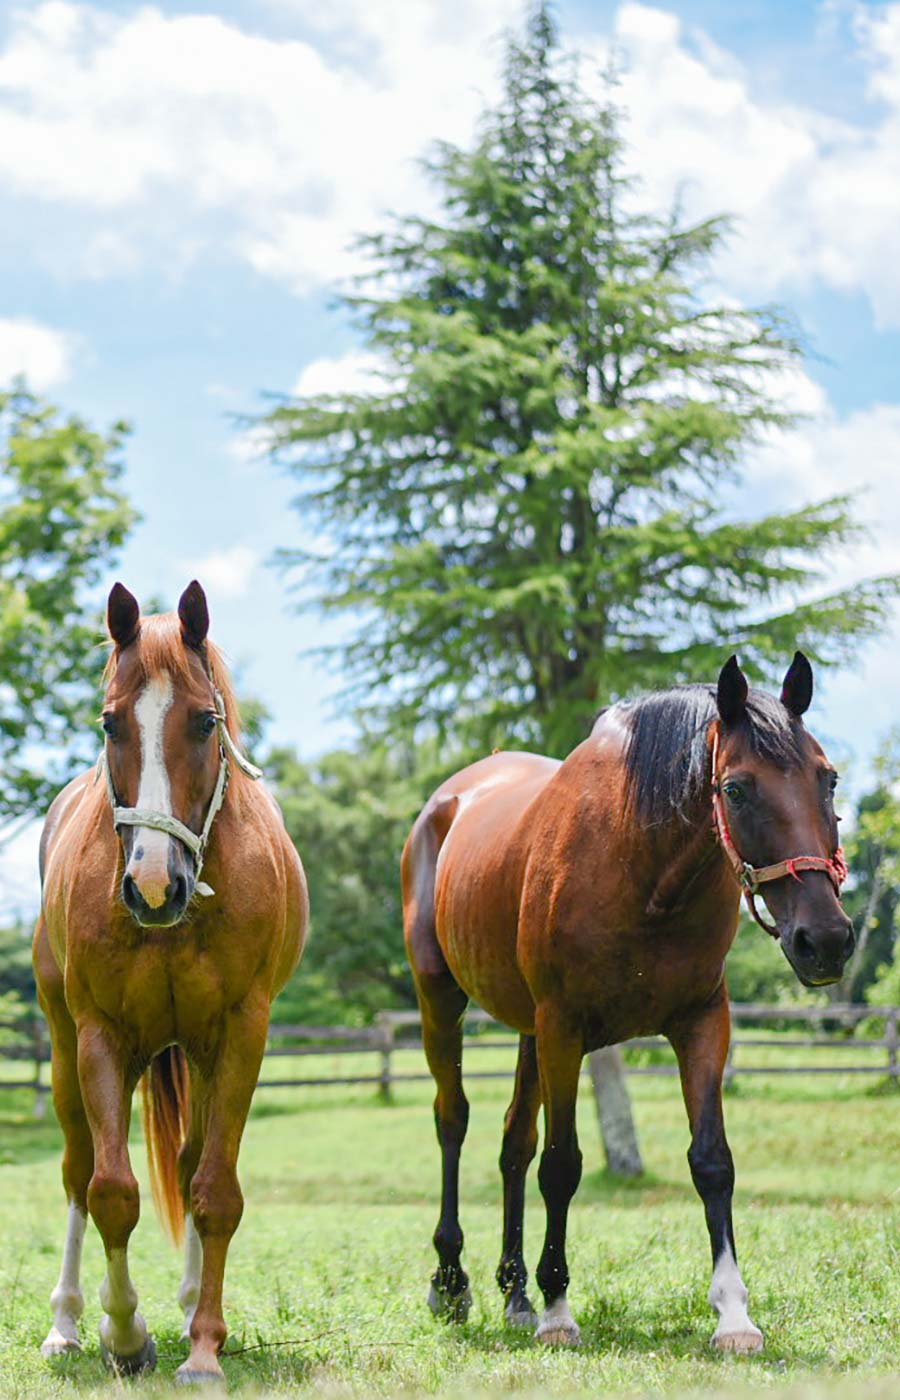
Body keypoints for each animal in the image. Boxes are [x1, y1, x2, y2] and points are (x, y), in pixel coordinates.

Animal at [33, 581, 308, 1384]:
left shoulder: (241, 1035)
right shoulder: (100, 1036)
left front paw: (205, 1347)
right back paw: (68, 1322)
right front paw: (123, 1333)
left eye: (204, 720)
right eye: (110, 721)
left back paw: (188, 1310)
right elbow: (111, 1191)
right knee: (77, 1171)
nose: (154, 885)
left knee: (188, 1169)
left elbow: (213, 1192)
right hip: (65, 1050)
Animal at [402, 653, 852, 1352]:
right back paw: (452, 1283)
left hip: (528, 1031)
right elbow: (562, 1166)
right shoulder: (564, 1027)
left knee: (513, 1142)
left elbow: (712, 1161)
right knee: (454, 1122)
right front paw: (560, 1310)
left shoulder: (701, 1022)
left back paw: (515, 1292)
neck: (642, 871)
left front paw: (734, 1314)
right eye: (736, 790)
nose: (825, 941)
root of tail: (446, 800)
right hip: (441, 1004)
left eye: (827, 779)